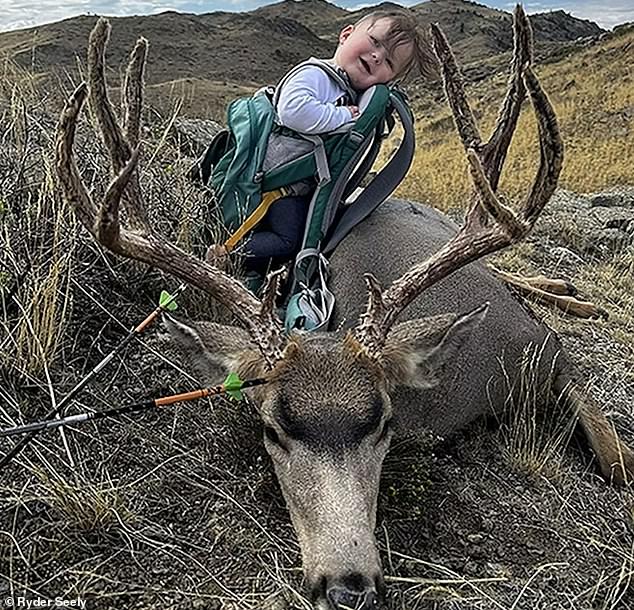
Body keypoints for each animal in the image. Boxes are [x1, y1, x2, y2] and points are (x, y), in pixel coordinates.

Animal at [56, 8, 628, 608]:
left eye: (382, 423)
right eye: (272, 430)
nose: (348, 585)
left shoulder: (546, 363)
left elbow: (617, 465)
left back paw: (573, 296)